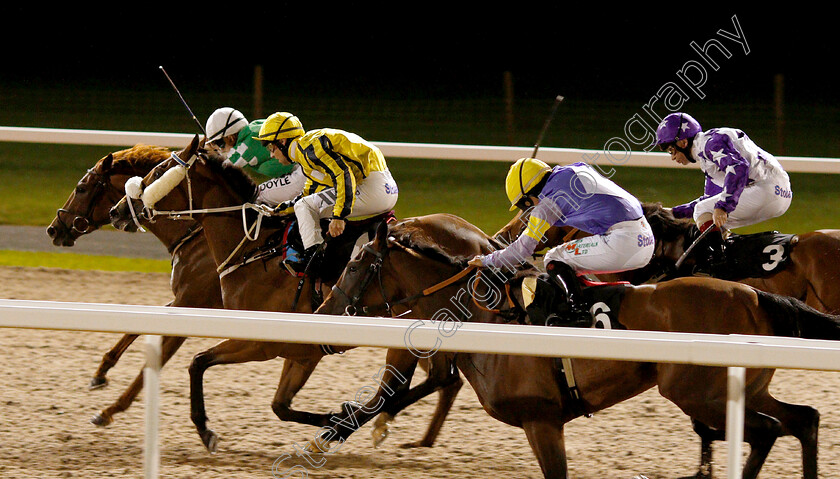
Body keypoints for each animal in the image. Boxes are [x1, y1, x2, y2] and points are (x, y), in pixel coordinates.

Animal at [46, 144, 220, 426]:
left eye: (81, 188)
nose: (52, 229)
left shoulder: (193, 303)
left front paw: (109, 410)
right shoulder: (182, 299)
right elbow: (138, 324)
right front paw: (101, 372)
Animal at [108, 136, 462, 454]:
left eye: (157, 173)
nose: (117, 211)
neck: (255, 251)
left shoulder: (259, 341)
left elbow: (198, 362)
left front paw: (205, 430)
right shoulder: (301, 350)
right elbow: (280, 405)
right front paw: (333, 417)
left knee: (402, 387)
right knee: (437, 379)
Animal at [316, 218, 840, 479]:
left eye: (357, 266)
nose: (323, 313)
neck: (491, 321)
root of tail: (752, 294)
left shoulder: (542, 419)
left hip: (701, 393)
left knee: (769, 431)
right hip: (744, 388)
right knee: (803, 420)